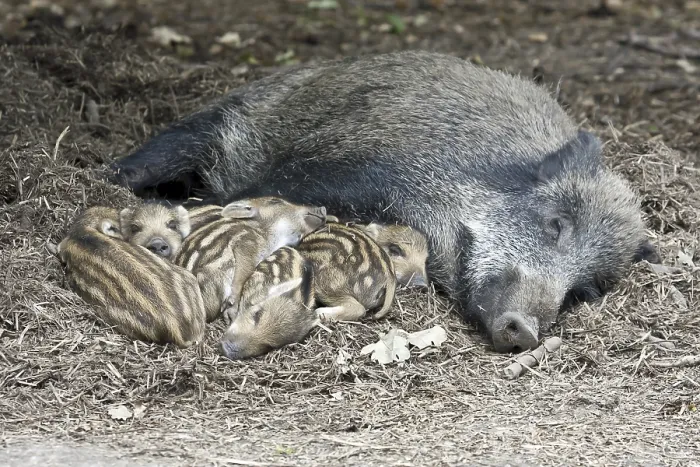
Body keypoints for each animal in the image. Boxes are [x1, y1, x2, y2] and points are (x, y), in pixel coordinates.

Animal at [173, 196, 326, 322]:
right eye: (275, 201)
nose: (323, 209)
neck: (266, 233)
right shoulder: (246, 246)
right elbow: (242, 274)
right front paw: (232, 310)